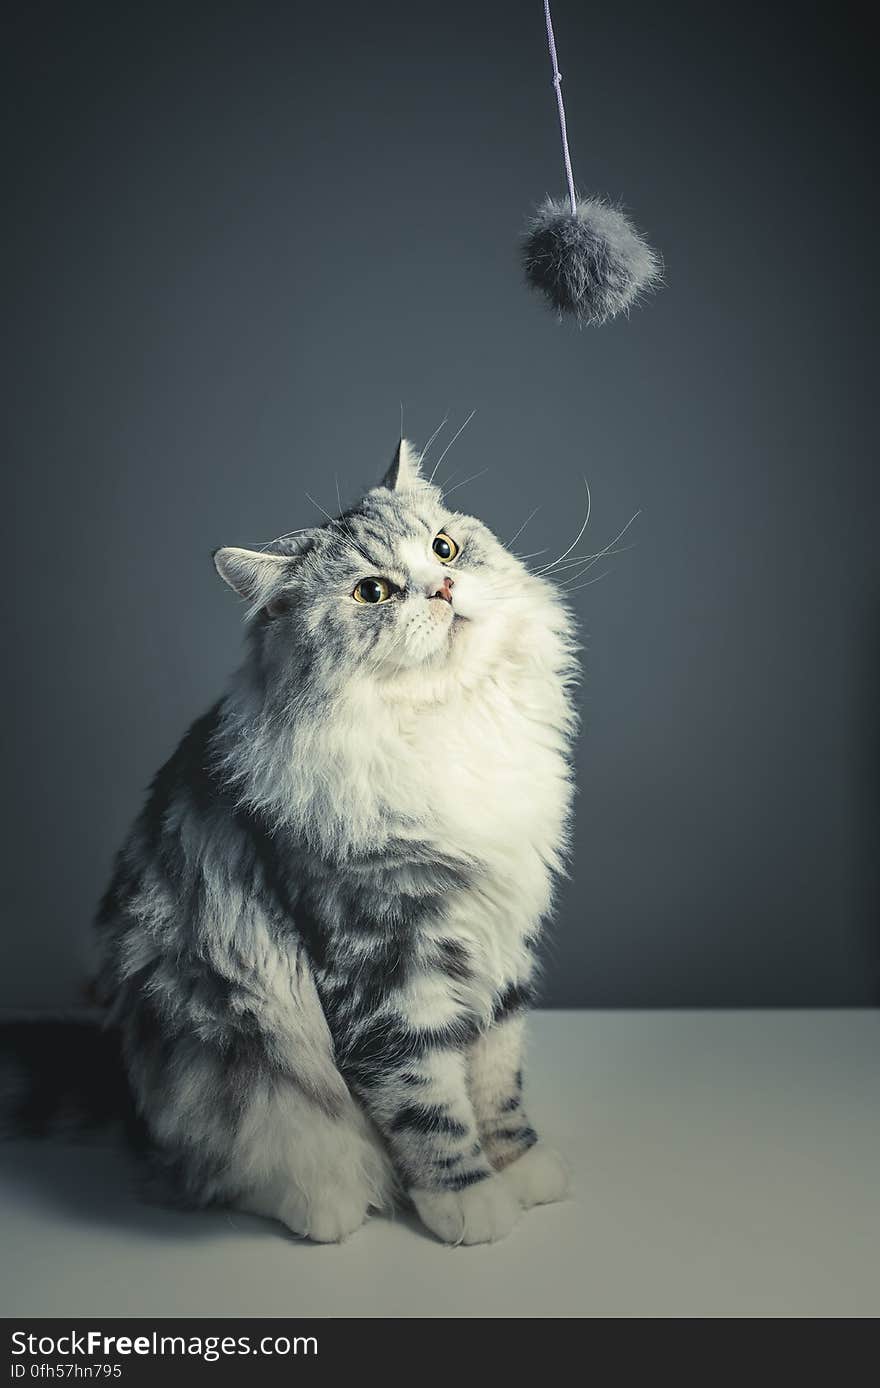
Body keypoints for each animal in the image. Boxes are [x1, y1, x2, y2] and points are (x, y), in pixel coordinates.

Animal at [20, 438, 580, 1243]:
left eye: (444, 547)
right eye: (372, 592)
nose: (442, 587)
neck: (446, 720)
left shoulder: (500, 938)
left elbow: (497, 1076)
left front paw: (521, 1167)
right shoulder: (384, 961)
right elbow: (428, 1101)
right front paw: (469, 1201)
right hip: (231, 1064)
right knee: (238, 1166)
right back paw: (326, 1209)